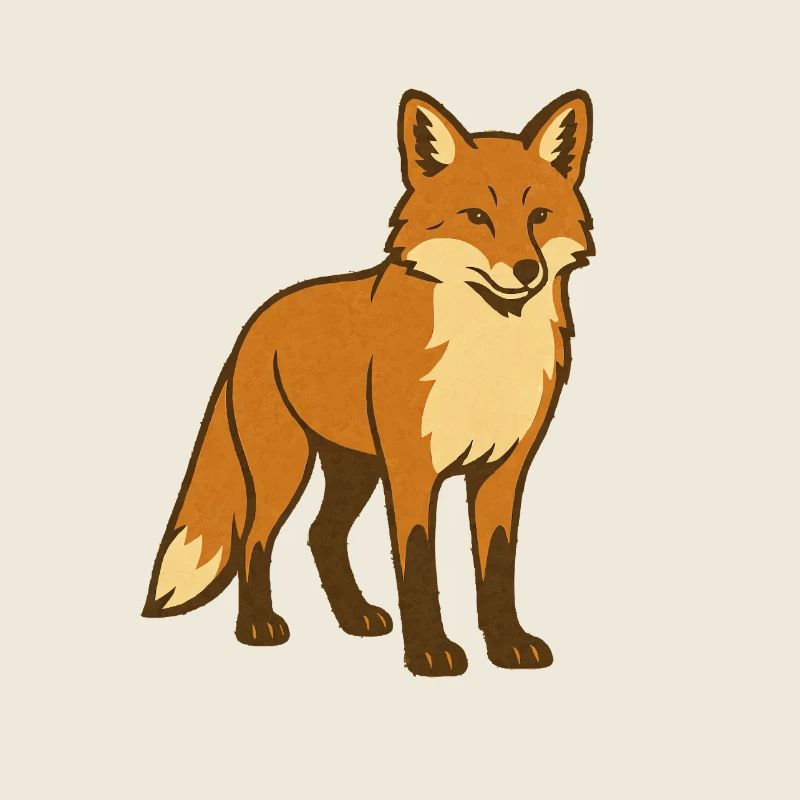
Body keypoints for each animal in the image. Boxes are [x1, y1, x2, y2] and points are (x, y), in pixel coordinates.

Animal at [143, 89, 594, 676]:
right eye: (476, 217)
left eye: (539, 216)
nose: (525, 270)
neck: (485, 352)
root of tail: (259, 316)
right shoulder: (412, 467)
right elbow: (418, 565)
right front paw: (429, 651)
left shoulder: (502, 470)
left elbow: (497, 566)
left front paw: (506, 643)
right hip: (284, 466)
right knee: (257, 540)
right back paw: (258, 626)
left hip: (355, 468)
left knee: (321, 535)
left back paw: (355, 616)